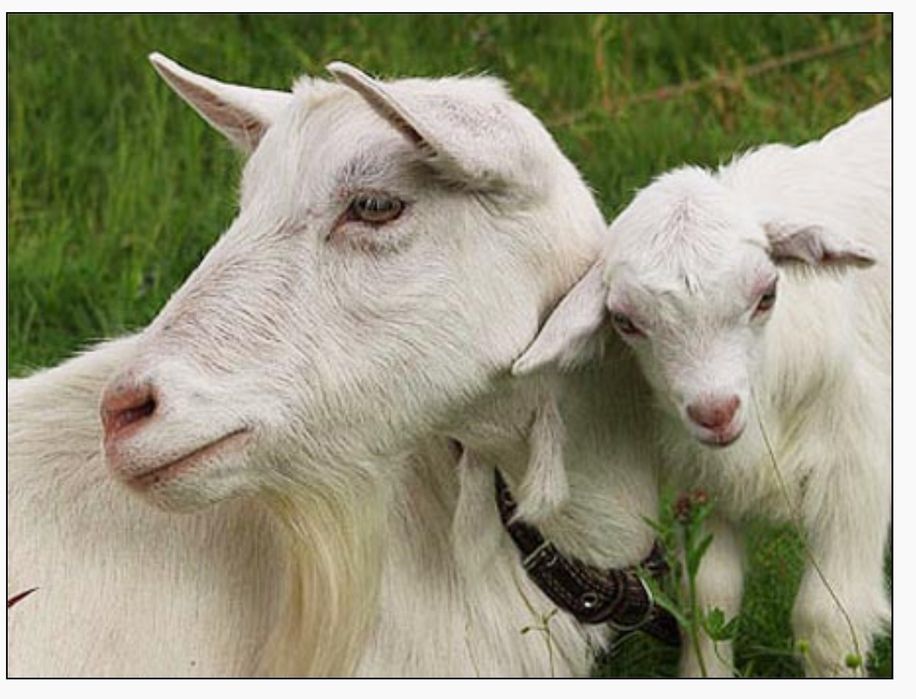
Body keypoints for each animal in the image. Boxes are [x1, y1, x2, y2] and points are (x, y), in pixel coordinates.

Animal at [513, 99, 891, 677]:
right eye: (625, 321)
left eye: (767, 294)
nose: (716, 412)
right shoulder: (704, 484)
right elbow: (711, 599)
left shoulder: (858, 470)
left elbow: (829, 621)